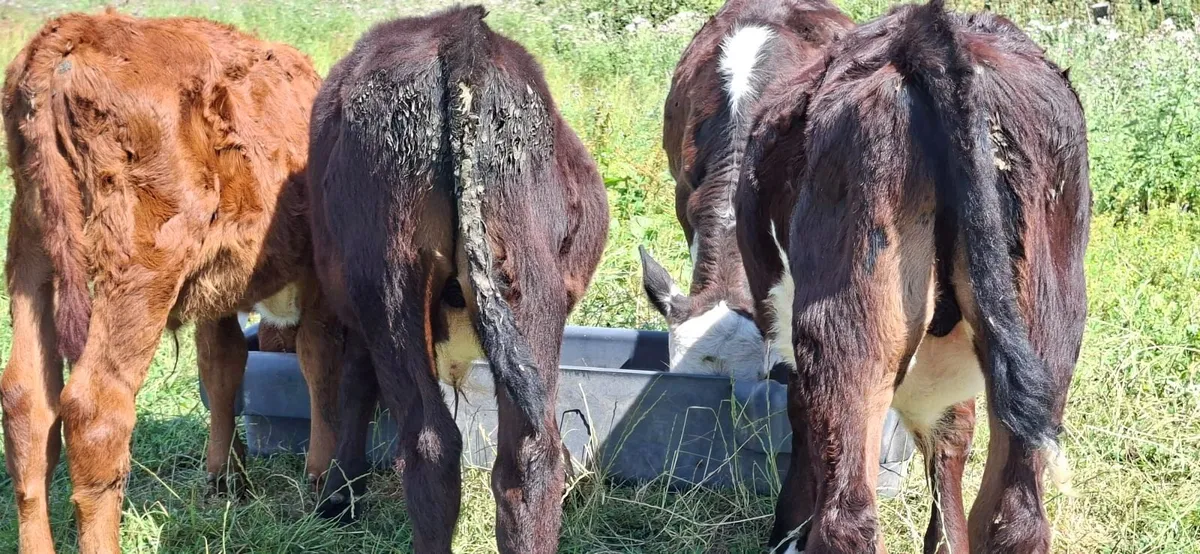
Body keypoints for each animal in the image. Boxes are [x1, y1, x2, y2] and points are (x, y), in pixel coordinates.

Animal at [0, 11, 341, 553]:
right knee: (95, 411)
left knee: (27, 402)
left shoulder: (220, 293)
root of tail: (76, 29)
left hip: (31, 250)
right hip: (141, 269)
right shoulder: (319, 290)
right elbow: (321, 369)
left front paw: (225, 478)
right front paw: (327, 490)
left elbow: (223, 367)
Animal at [305, 6, 608, 553]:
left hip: (388, 284)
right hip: (530, 282)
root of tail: (460, 33)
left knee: (430, 446)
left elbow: (356, 384)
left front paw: (340, 495)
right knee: (529, 459)